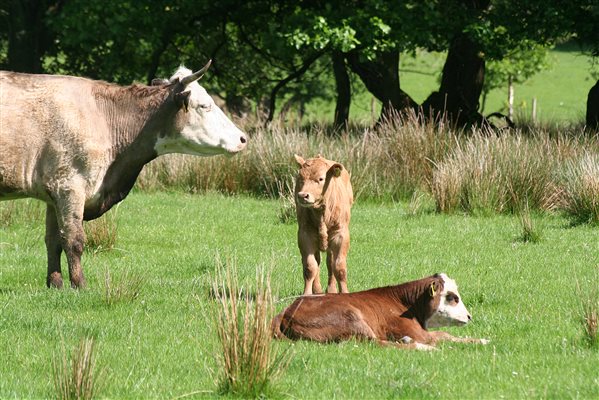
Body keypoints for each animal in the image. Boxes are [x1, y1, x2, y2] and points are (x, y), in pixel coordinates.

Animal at [0, 61, 248, 288]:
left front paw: (55, 284)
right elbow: (74, 240)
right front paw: (80, 285)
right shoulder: (69, 186)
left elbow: (53, 241)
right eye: (204, 105)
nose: (243, 138)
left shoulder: (53, 193)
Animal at [294, 155, 352, 296]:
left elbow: (339, 267)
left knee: (330, 262)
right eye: (300, 178)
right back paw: (317, 290)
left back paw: (331, 290)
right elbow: (310, 267)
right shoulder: (305, 235)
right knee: (317, 261)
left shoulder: (341, 235)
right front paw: (307, 294)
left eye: (321, 178)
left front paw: (345, 293)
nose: (302, 196)